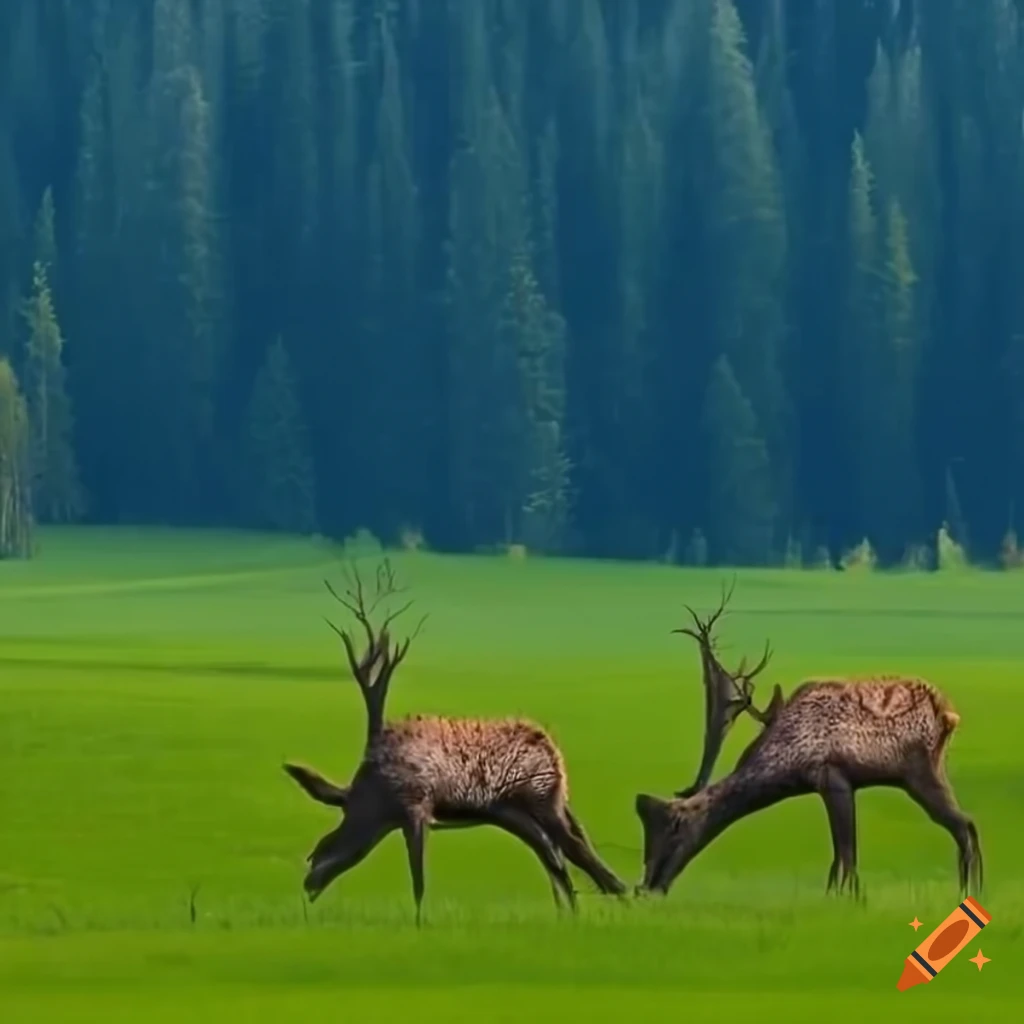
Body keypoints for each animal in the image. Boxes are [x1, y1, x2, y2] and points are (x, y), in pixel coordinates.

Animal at [283, 558, 627, 925]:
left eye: (319, 849)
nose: (308, 884)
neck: (376, 797)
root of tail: (555, 753)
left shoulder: (416, 808)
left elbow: (419, 879)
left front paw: (420, 921)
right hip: (517, 808)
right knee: (557, 853)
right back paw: (577, 910)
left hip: (540, 798)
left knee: (574, 849)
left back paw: (625, 899)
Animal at [636, 652, 984, 901]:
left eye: (674, 825)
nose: (648, 886)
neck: (783, 765)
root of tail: (950, 715)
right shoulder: (834, 785)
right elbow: (842, 852)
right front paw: (840, 895)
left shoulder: (833, 778)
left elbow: (846, 851)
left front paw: (849, 899)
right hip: (930, 773)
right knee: (967, 823)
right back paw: (973, 891)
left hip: (919, 774)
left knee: (962, 825)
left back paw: (969, 892)